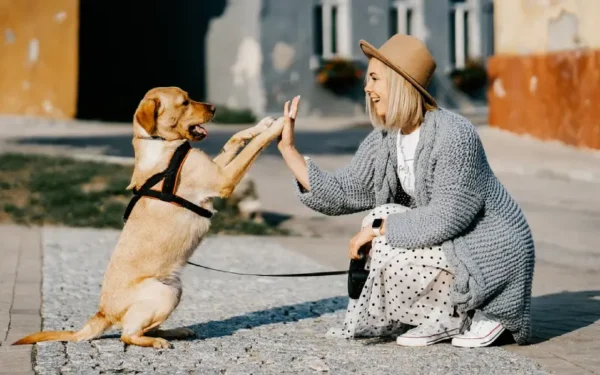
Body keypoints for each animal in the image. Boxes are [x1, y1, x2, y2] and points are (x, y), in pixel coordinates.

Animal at [12, 88, 298, 350]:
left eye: (189, 97)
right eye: (184, 103)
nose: (215, 108)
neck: (160, 143)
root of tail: (103, 313)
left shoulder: (216, 168)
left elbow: (234, 138)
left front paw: (262, 124)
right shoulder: (222, 179)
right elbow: (254, 146)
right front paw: (279, 126)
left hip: (174, 289)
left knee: (144, 328)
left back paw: (175, 332)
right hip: (164, 292)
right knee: (127, 334)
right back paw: (156, 342)